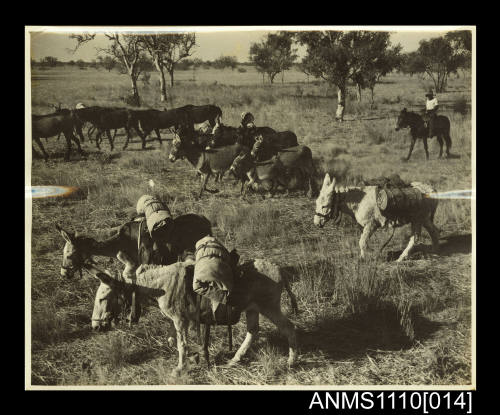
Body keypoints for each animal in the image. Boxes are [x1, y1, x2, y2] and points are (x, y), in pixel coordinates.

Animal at [81, 254, 296, 374]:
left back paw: (291, 361)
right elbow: (174, 340)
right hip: (253, 309)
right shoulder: (180, 320)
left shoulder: (179, 319)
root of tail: (279, 269)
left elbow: (181, 344)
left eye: (103, 298)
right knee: (253, 332)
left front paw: (180, 368)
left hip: (269, 307)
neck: (159, 286)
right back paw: (235, 359)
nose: (95, 326)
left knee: (289, 328)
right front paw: (194, 357)